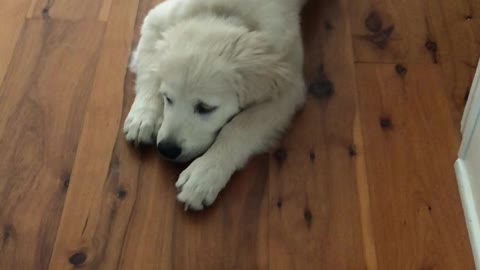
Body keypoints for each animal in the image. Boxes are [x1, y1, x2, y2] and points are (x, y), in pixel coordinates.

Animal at [124, 0, 308, 210]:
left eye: (205, 108)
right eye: (167, 98)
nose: (167, 149)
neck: (224, 11)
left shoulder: (287, 88)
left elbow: (240, 128)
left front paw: (204, 176)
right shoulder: (157, 18)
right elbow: (150, 70)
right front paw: (143, 118)